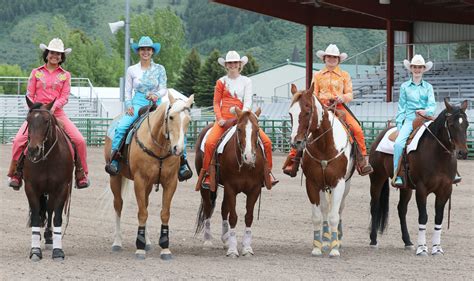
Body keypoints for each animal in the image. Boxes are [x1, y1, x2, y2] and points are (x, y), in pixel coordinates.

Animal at [22, 97, 74, 262]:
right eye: (28, 119)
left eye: (46, 121)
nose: (33, 149)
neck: (47, 159)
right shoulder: (31, 188)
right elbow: (35, 217)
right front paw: (35, 250)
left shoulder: (62, 188)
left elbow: (56, 217)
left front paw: (58, 251)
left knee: (50, 210)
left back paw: (50, 238)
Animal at [104, 93, 193, 260]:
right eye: (171, 117)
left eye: (188, 120)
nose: (178, 149)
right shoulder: (140, 181)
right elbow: (142, 213)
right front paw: (139, 248)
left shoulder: (170, 182)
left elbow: (164, 213)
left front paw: (165, 247)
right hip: (115, 178)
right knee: (118, 205)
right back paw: (117, 242)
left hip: (149, 185)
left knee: (144, 204)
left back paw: (147, 241)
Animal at [193, 106, 266, 256]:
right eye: (239, 129)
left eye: (257, 130)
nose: (249, 156)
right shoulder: (230, 187)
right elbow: (233, 217)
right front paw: (233, 249)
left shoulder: (254, 189)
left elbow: (248, 217)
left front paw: (246, 248)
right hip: (207, 187)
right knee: (208, 208)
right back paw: (208, 241)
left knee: (223, 209)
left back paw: (225, 239)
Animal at [286, 84, 354, 258]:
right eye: (290, 113)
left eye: (307, 111)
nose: (296, 142)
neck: (324, 145)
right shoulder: (312, 183)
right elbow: (317, 216)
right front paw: (317, 247)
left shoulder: (338, 183)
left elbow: (334, 216)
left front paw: (335, 249)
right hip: (323, 186)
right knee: (324, 209)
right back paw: (326, 240)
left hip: (346, 185)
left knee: (339, 209)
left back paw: (337, 239)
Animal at [368, 98, 468, 256]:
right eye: (451, 124)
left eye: (467, 124)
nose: (462, 152)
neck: (438, 155)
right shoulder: (422, 189)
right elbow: (423, 216)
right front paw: (422, 248)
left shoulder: (445, 190)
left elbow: (438, 217)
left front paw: (437, 248)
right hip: (377, 178)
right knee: (375, 206)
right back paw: (373, 241)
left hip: (406, 187)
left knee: (401, 209)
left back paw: (408, 242)